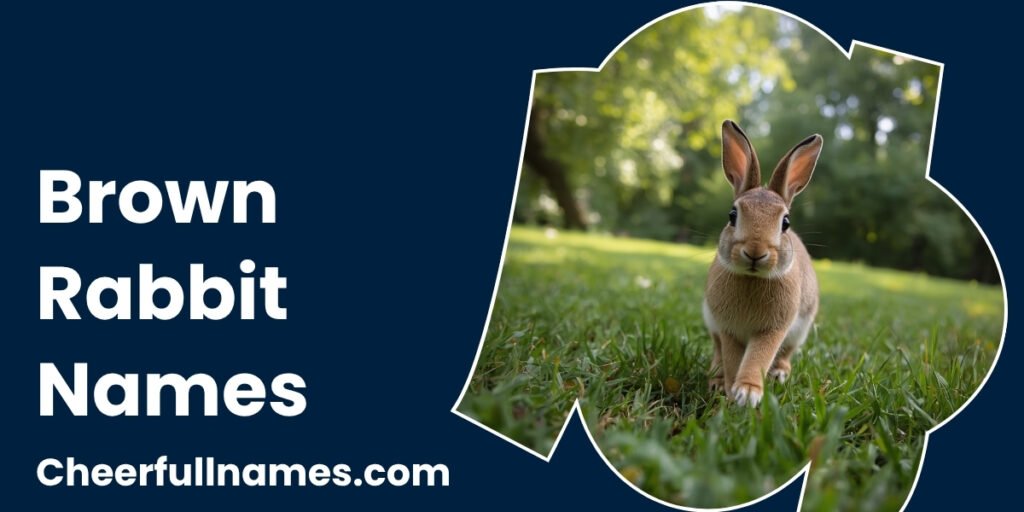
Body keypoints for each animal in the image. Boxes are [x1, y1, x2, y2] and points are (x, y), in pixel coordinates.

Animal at [702, 120, 821, 407]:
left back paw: (779, 374)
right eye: (732, 215)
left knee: (786, 354)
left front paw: (747, 392)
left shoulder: (773, 329)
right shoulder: (728, 329)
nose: (755, 252)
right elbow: (733, 357)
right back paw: (716, 380)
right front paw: (733, 391)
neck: (752, 277)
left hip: (799, 331)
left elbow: (760, 355)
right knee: (717, 352)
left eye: (785, 222)